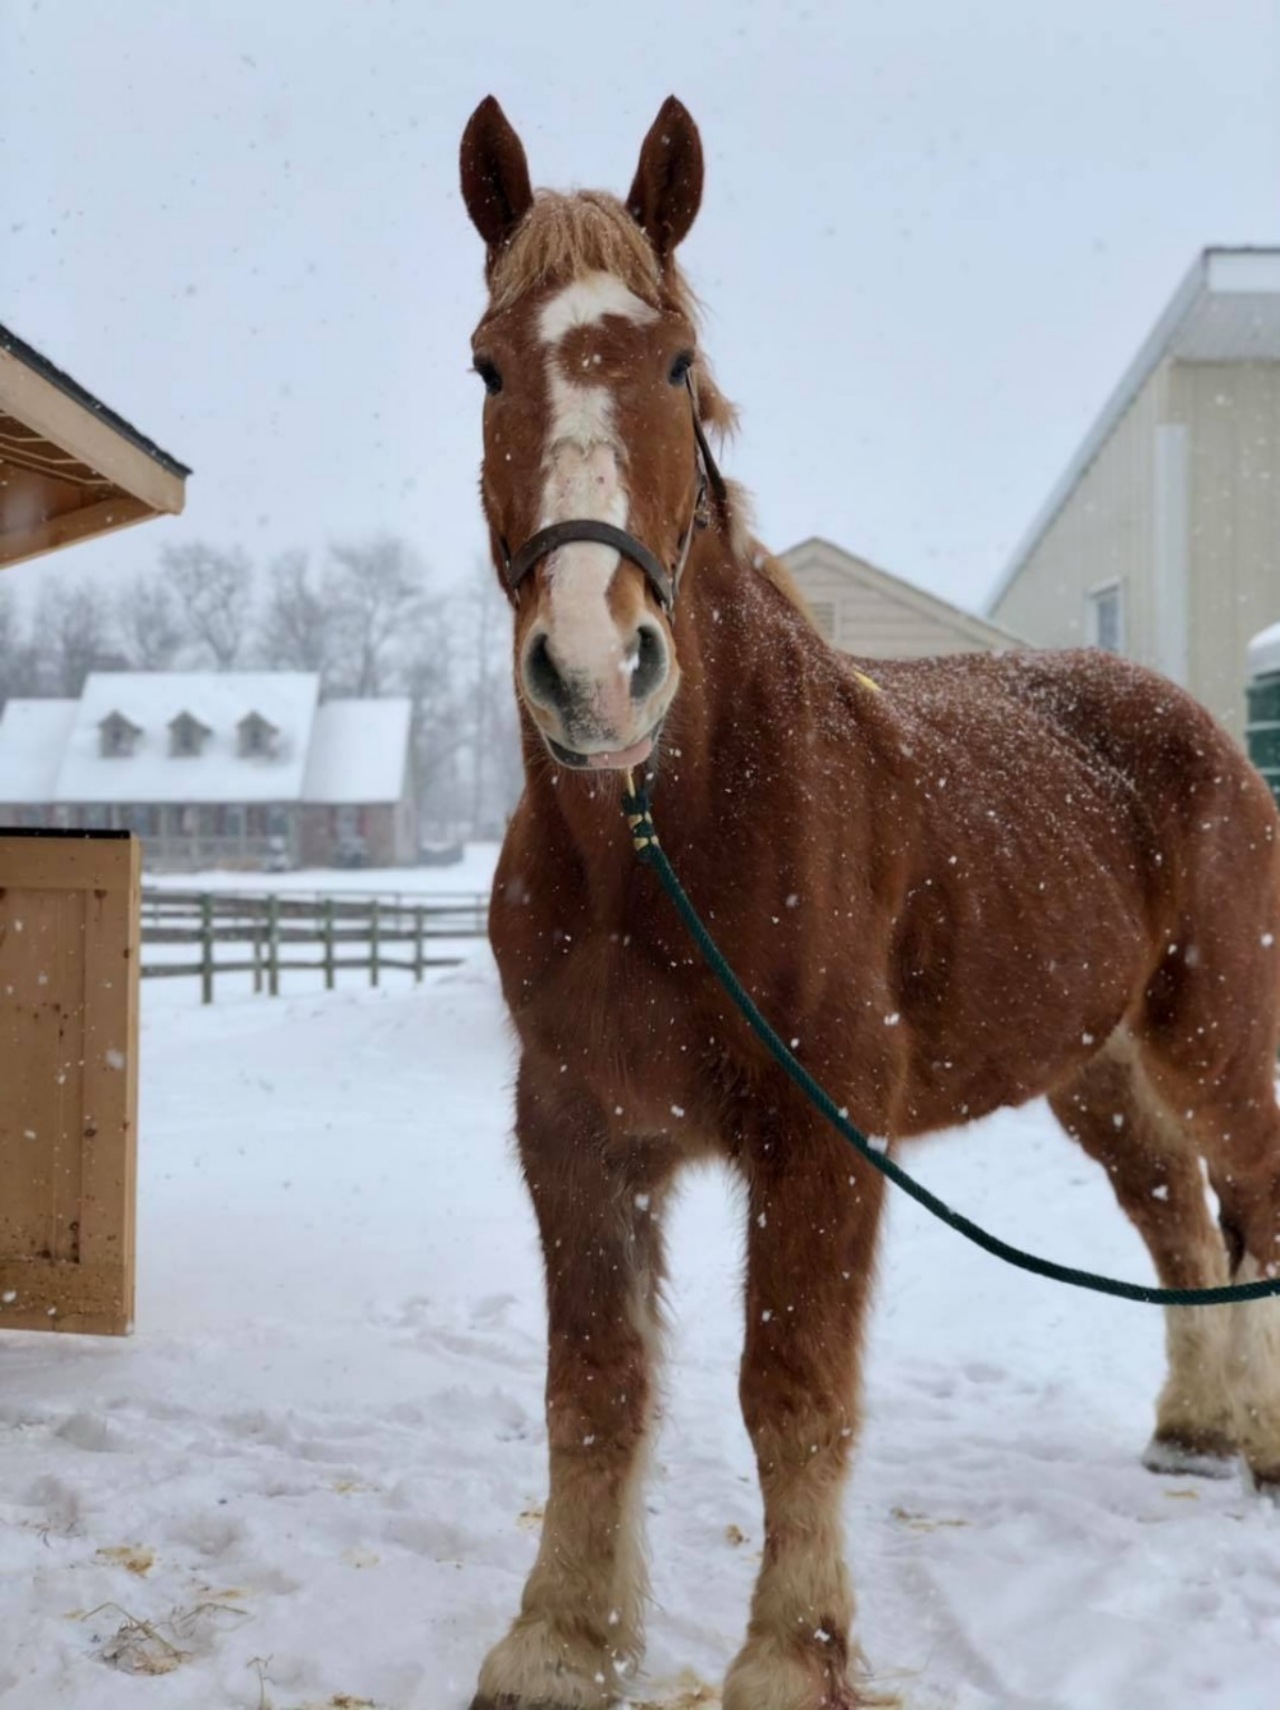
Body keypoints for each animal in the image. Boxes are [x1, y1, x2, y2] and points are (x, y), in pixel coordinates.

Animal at [457, 97, 1278, 1710]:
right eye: (489, 364)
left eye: (675, 364)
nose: (593, 672)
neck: (658, 841)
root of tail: (1197, 728)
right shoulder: (575, 1126)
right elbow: (593, 1386)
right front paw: (563, 1636)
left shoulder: (818, 1134)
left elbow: (791, 1388)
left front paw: (792, 1652)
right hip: (1097, 1072)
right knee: (1176, 1221)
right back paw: (1194, 1430)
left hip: (1217, 1034)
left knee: (1256, 1205)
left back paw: (1265, 1449)